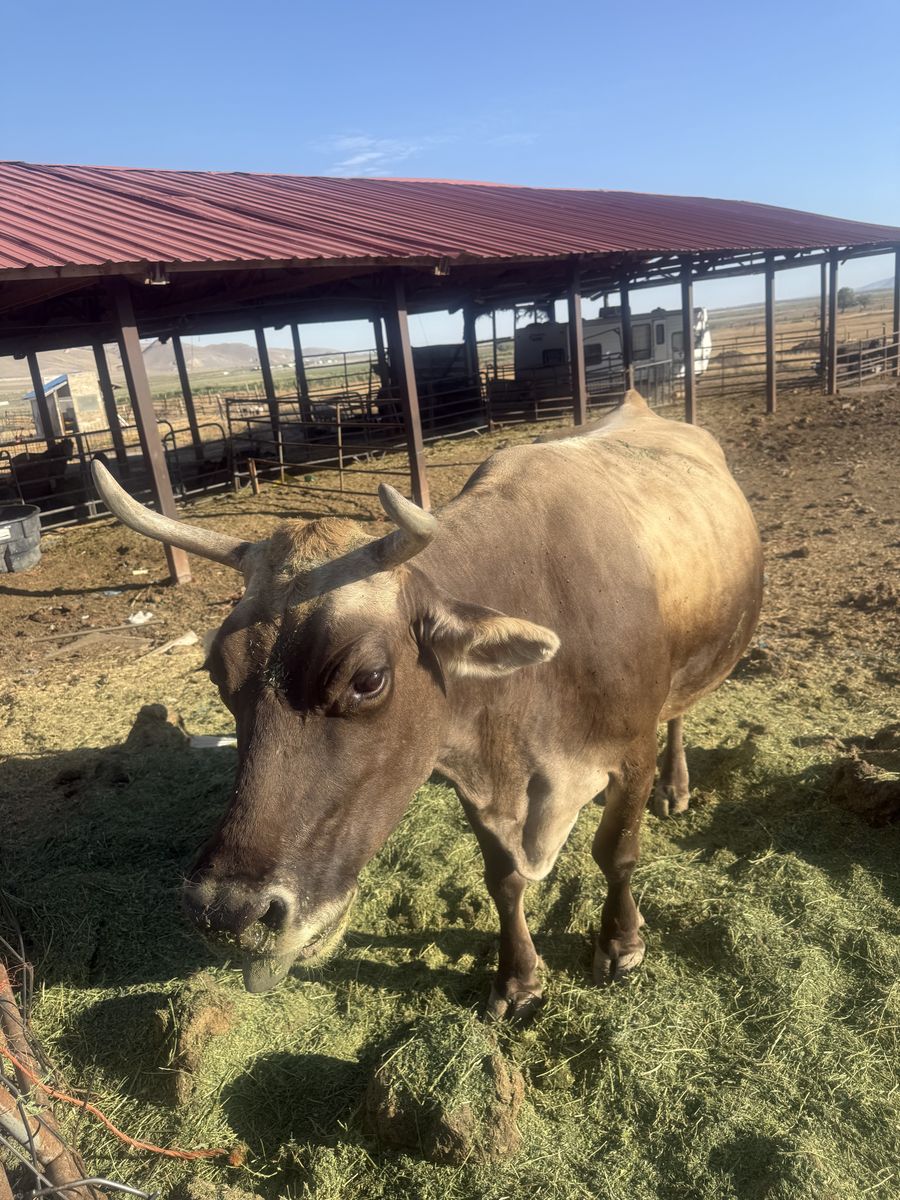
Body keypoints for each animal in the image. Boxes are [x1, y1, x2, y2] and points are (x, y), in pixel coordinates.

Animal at [92, 391, 763, 1017]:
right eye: (217, 673)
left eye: (367, 679)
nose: (227, 911)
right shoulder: (475, 780)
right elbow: (504, 880)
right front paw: (517, 980)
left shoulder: (630, 755)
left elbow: (616, 854)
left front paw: (621, 944)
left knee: (679, 712)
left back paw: (676, 787)